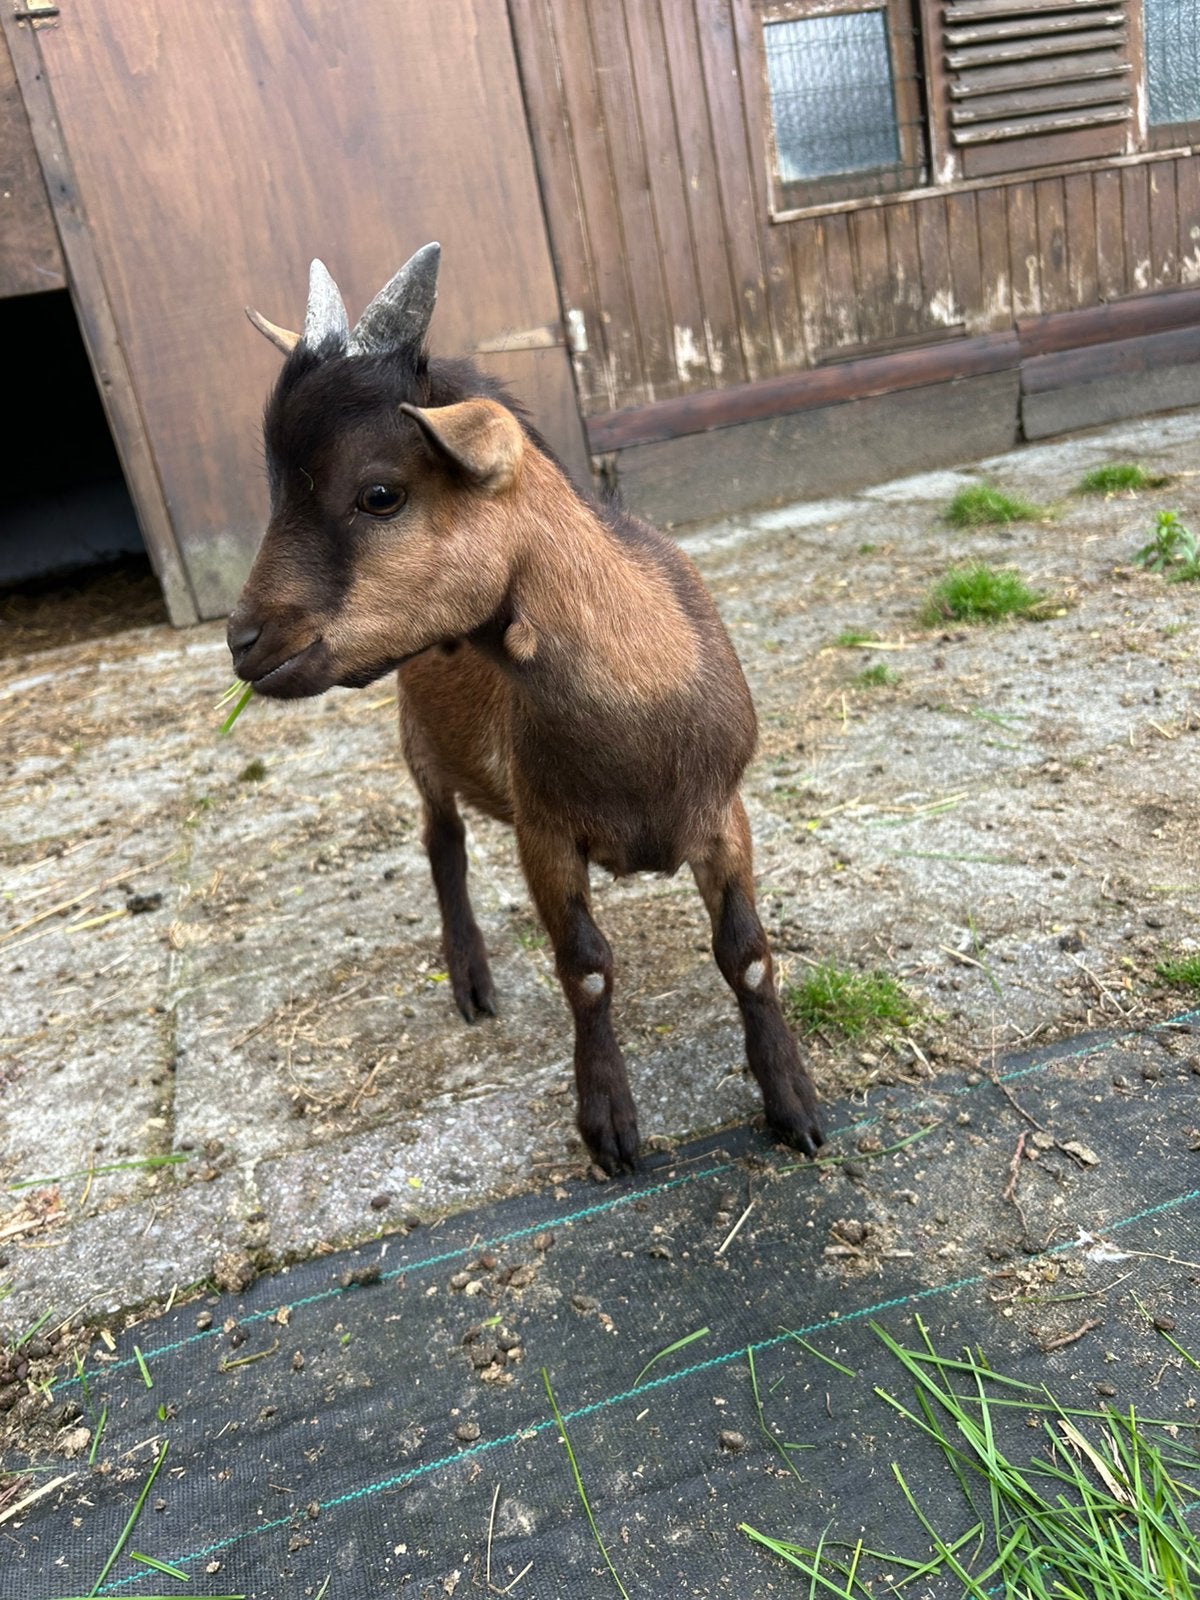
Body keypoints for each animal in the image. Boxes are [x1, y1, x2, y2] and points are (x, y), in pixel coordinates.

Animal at [229, 244, 825, 1173]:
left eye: (379, 494)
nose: (243, 640)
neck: (643, 692)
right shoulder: (545, 833)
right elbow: (586, 970)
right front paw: (610, 1125)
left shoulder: (725, 812)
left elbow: (749, 956)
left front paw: (793, 1101)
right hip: (421, 749)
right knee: (441, 843)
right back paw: (470, 980)